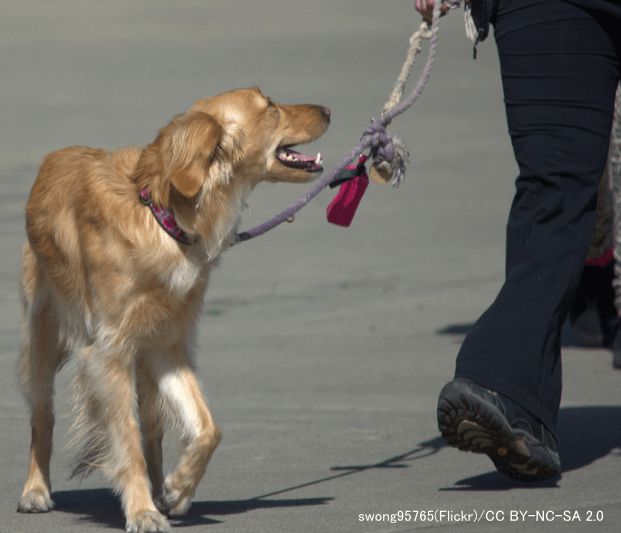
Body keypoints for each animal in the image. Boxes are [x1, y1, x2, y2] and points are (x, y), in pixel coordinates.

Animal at [15, 88, 330, 532]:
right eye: (268, 105)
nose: (328, 110)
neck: (160, 216)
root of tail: (55, 156)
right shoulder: (108, 353)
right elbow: (125, 440)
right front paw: (142, 511)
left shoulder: (166, 346)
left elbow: (207, 426)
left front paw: (178, 489)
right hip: (44, 338)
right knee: (43, 417)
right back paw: (36, 490)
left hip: (144, 359)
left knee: (153, 429)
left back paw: (160, 486)